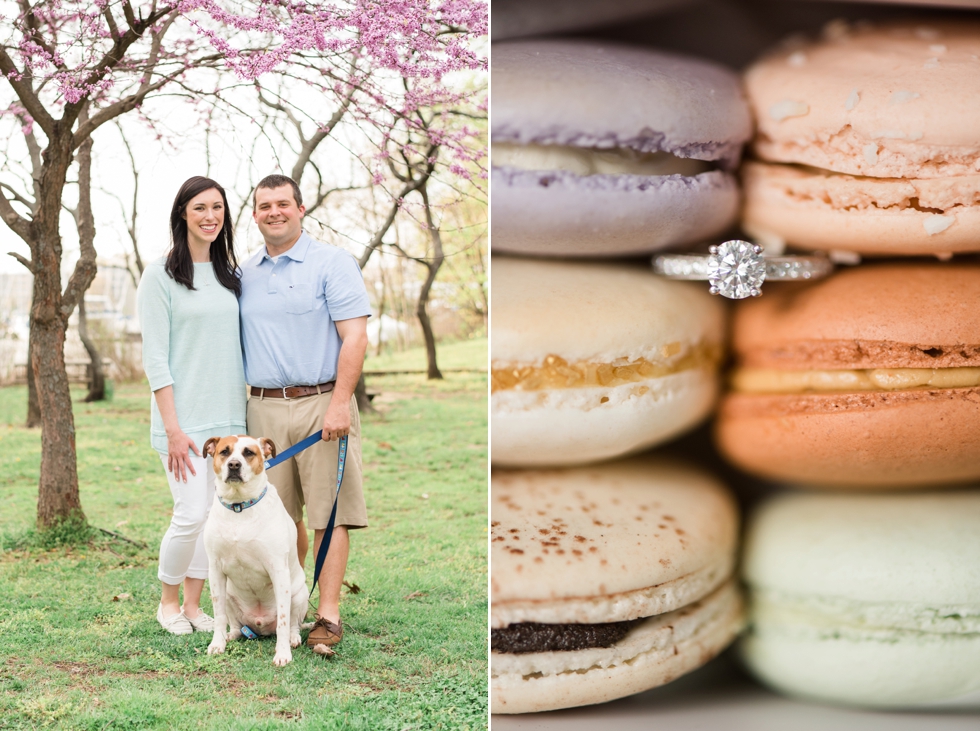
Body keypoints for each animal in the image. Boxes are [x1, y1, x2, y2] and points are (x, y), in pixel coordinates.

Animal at [199, 438, 306, 668]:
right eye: (224, 452)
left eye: (249, 452)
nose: (234, 465)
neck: (239, 506)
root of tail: (259, 626)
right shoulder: (215, 571)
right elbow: (219, 616)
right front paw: (217, 644)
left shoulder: (278, 571)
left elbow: (283, 621)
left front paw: (282, 654)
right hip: (229, 595)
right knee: (235, 625)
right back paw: (231, 635)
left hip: (298, 593)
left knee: (293, 623)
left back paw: (293, 639)